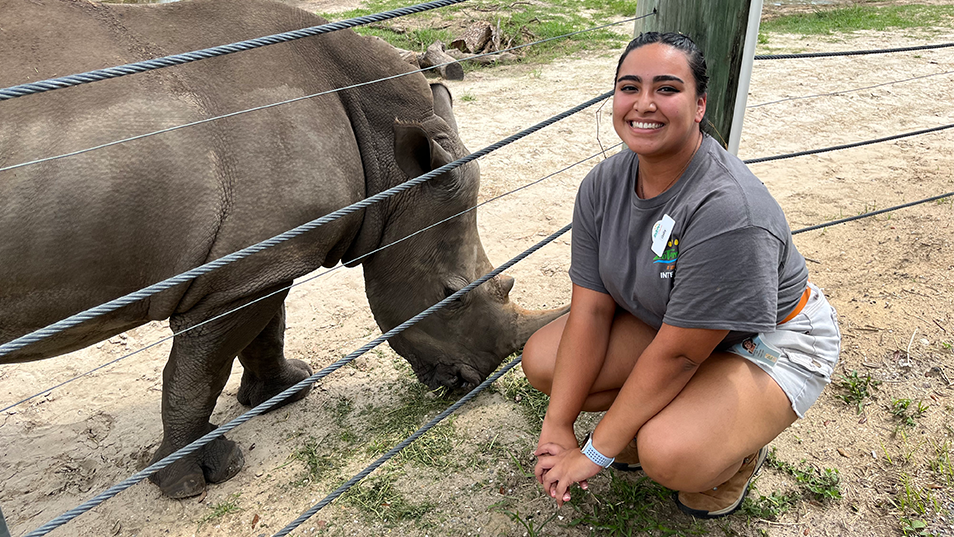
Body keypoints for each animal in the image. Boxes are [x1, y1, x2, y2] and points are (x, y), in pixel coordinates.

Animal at [0, 0, 564, 498]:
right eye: (452, 296)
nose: (467, 383)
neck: (389, 167)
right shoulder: (241, 274)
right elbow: (198, 374)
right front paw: (196, 482)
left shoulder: (265, 258)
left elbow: (266, 329)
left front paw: (287, 391)